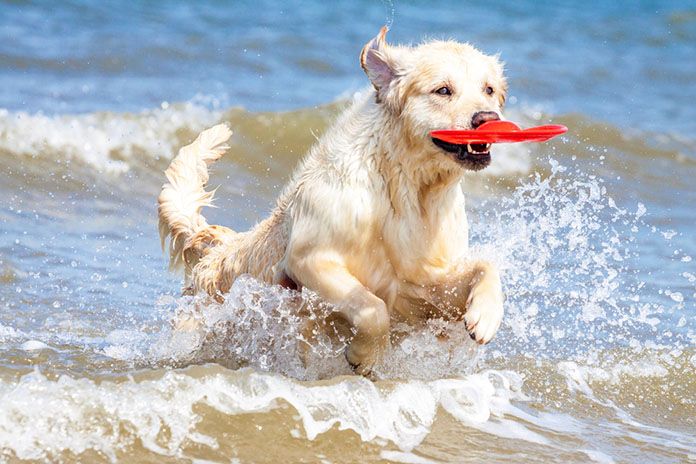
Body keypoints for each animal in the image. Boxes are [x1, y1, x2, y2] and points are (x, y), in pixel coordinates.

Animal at [158, 27, 506, 376]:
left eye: (489, 89)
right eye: (443, 90)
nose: (488, 118)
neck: (405, 189)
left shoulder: (427, 284)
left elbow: (485, 265)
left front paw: (485, 317)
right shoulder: (309, 259)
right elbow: (372, 307)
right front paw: (364, 355)